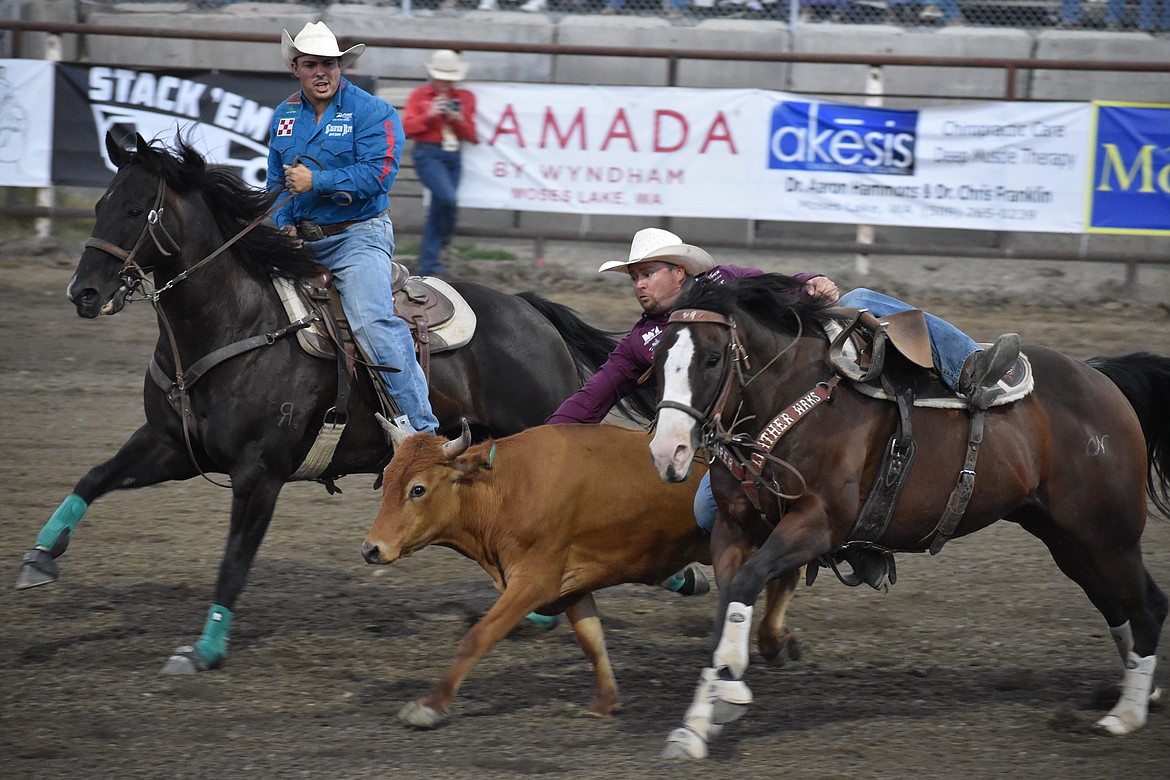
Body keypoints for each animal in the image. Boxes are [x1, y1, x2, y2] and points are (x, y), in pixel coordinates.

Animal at [11, 134, 631, 678]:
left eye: (139, 210)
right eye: (99, 205)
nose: (83, 293)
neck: (236, 323)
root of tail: (532, 312)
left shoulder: (258, 475)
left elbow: (234, 562)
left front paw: (204, 650)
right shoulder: (171, 447)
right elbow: (94, 478)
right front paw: (39, 558)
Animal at [645, 273, 1165, 757]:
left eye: (712, 359)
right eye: (656, 363)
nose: (667, 453)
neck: (796, 398)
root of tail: (1100, 377)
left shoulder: (818, 524)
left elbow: (749, 582)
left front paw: (730, 687)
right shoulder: (733, 527)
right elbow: (727, 600)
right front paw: (695, 724)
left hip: (1109, 536)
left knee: (1148, 606)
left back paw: (1125, 714)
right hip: (1068, 539)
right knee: (1121, 607)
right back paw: (1142, 693)